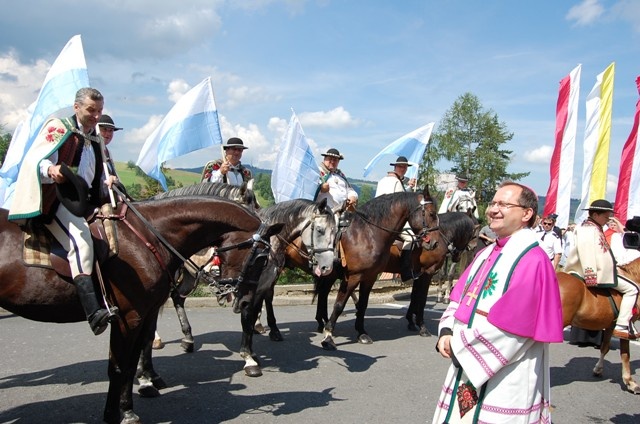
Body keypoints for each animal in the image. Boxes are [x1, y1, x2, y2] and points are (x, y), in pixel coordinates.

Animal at [0, 197, 282, 422]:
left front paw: (129, 407)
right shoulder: (128, 317)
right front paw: (114, 413)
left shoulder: (144, 313)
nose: (246, 302)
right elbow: (118, 366)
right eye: (260, 258)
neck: (149, 237)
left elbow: (132, 361)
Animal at [556, 258, 640, 394]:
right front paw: (630, 382)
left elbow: (604, 347)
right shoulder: (626, 326)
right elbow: (625, 355)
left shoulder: (610, 326)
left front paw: (598, 369)